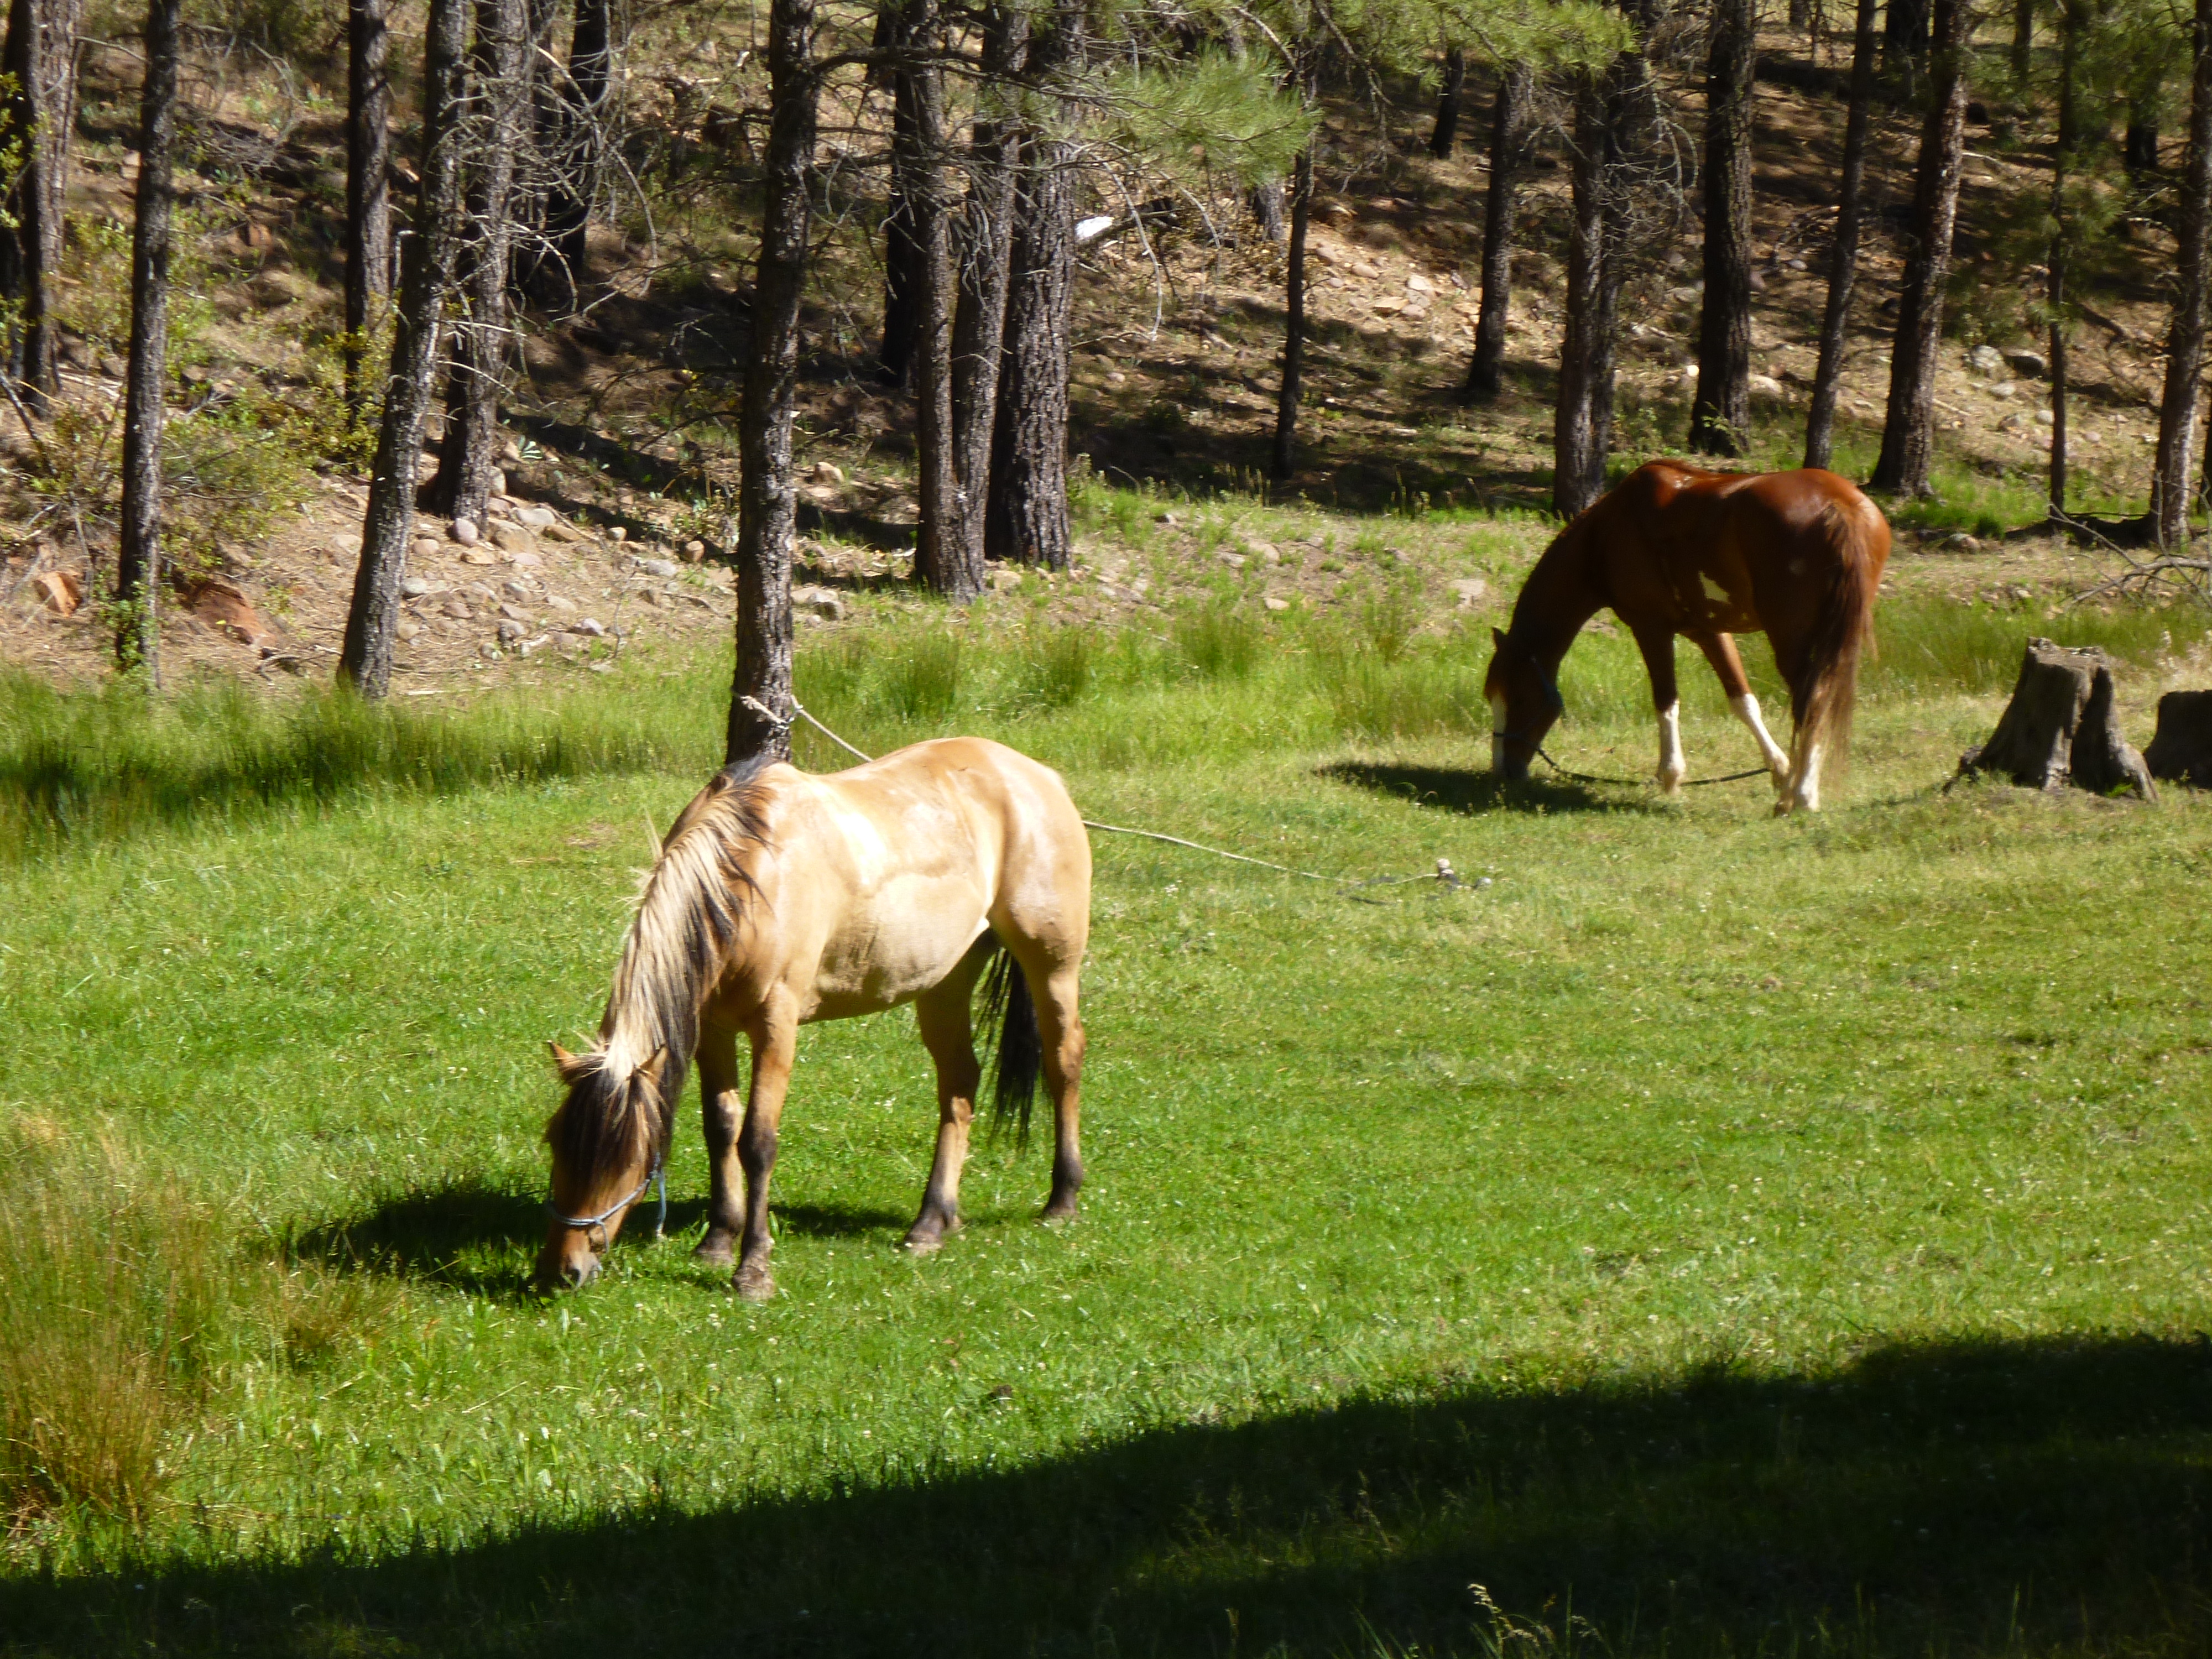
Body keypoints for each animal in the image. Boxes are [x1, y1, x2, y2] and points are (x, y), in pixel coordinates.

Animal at [535, 737, 1092, 1299]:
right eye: (556, 1142)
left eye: (626, 1158)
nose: (563, 1270)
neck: (747, 874)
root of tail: (1039, 775)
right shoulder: (712, 1028)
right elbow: (721, 1127)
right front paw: (718, 1240)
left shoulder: (776, 1026)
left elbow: (758, 1142)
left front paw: (753, 1269)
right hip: (945, 983)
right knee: (960, 1083)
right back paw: (933, 1222)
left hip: (1052, 967)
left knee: (1063, 1059)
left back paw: (1061, 1199)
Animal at [1485, 462, 1890, 814]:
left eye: (1518, 697)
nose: (1504, 771)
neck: (1605, 535)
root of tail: (1838, 505)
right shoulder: (1709, 631)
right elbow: (1744, 702)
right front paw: (1779, 768)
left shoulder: (1650, 627)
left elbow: (1666, 701)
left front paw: (1670, 776)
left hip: (1792, 641)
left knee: (1813, 704)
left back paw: (1801, 797)